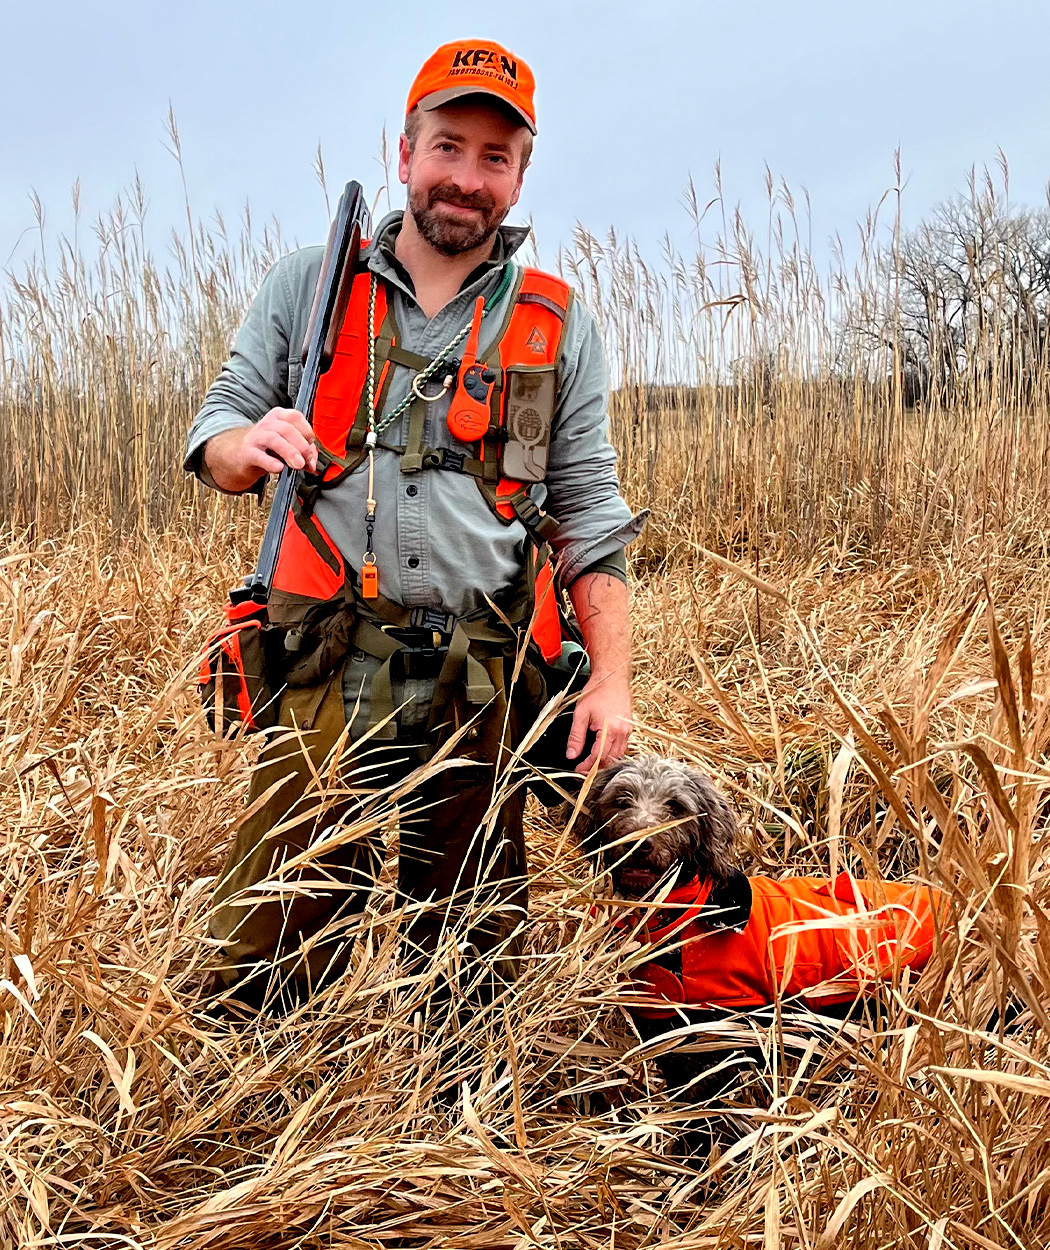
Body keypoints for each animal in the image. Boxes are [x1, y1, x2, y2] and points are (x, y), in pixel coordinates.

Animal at [577, 750, 945, 1150]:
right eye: (621, 799)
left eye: (675, 806)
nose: (640, 841)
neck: (684, 924)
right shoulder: (665, 1033)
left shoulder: (722, 1039)